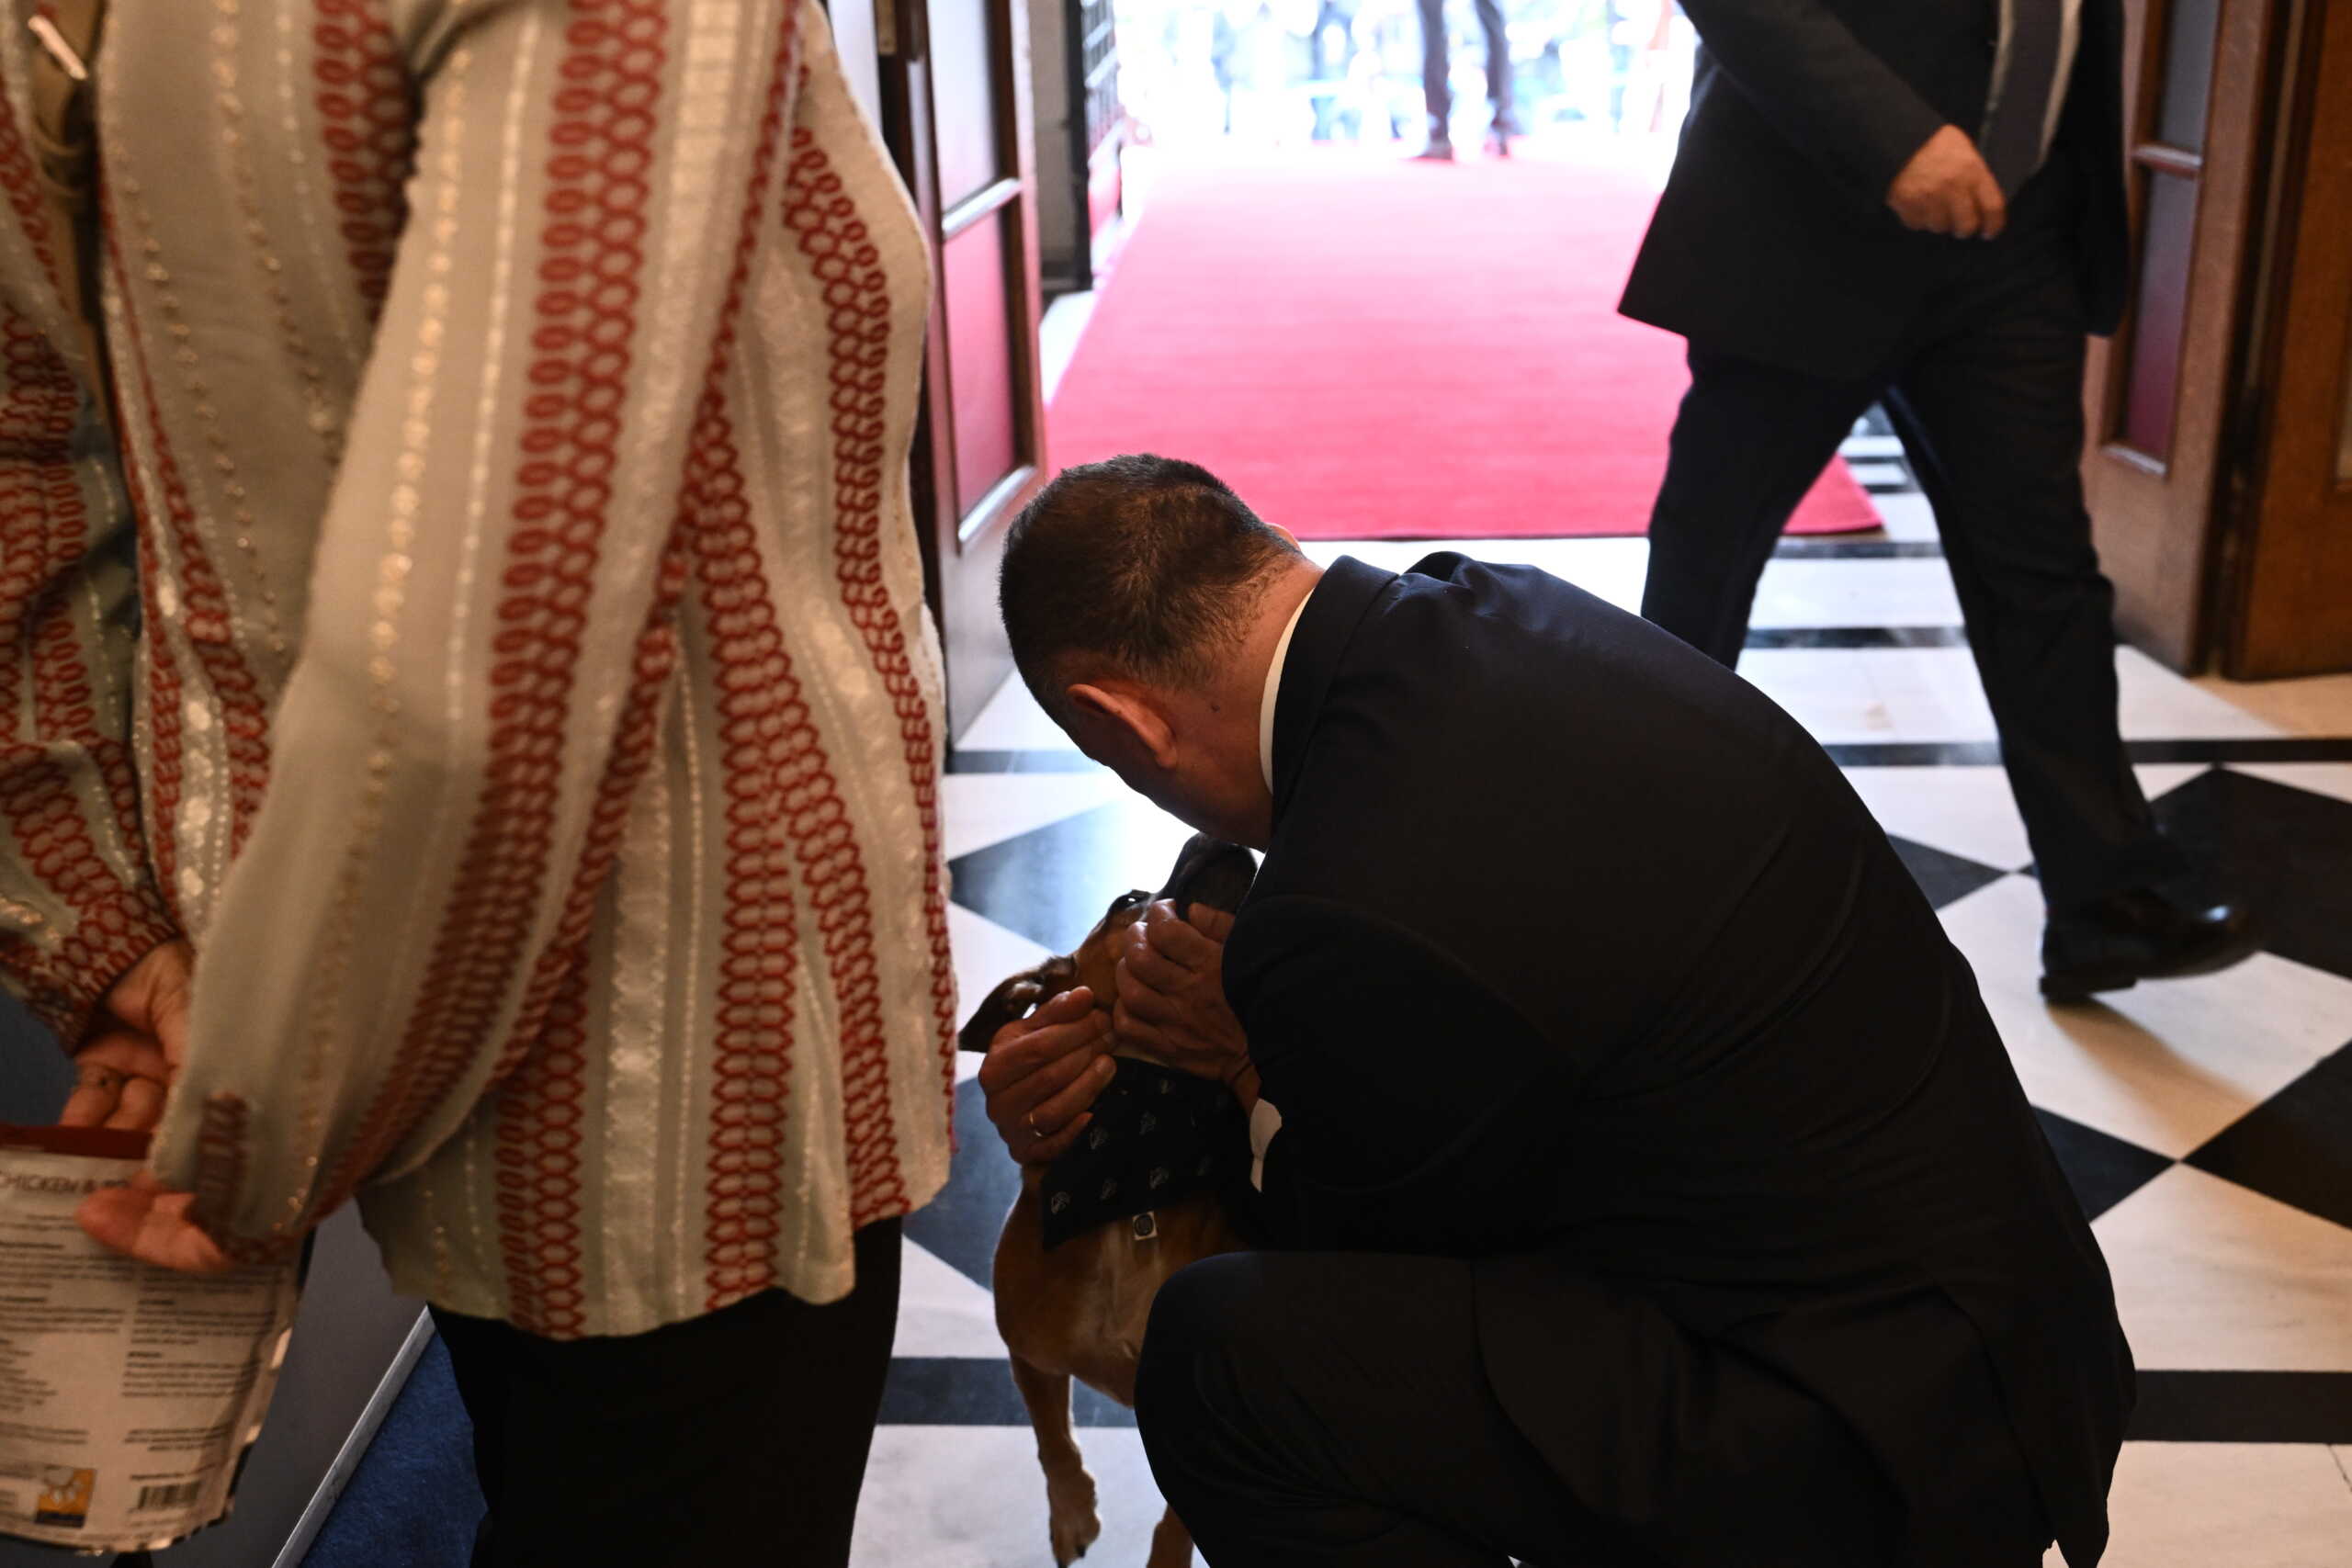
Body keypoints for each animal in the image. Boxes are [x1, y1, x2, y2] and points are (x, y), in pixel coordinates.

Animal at [955, 841, 1261, 1568]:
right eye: (1127, 902)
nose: (1222, 841)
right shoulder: (1030, 1354)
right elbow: (1052, 1440)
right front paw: (1071, 1512)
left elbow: (1177, 1520)